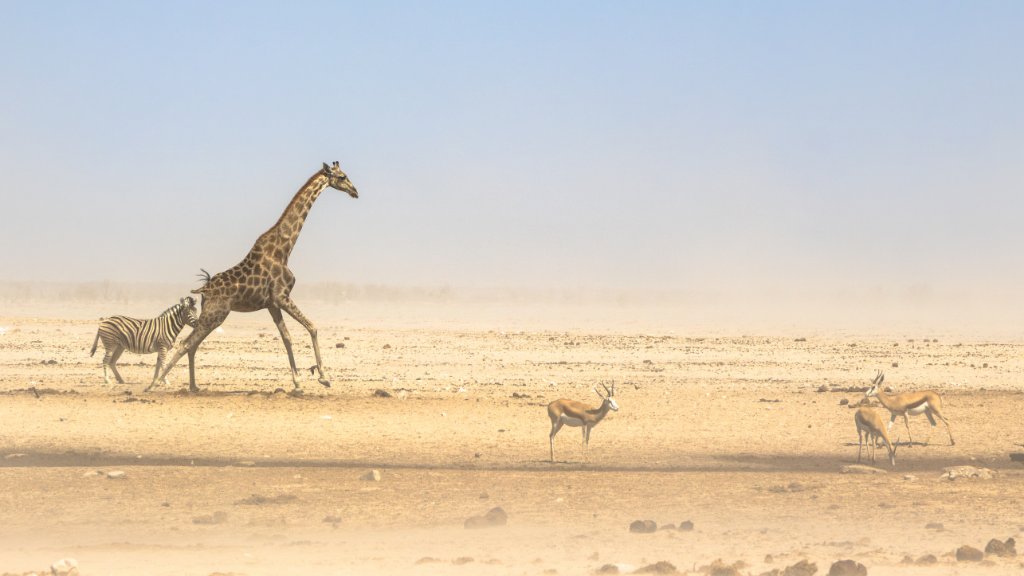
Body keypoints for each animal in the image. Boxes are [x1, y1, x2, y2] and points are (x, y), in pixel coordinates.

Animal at [147, 162, 358, 393]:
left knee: (192, 345)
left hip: (212, 315)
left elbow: (287, 338)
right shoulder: (282, 296)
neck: (284, 249)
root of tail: (204, 290)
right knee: (186, 344)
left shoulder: (272, 304)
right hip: (215, 314)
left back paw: (194, 386)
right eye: (342, 176)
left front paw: (298, 383)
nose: (355, 191)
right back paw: (155, 384)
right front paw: (324, 377)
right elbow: (312, 327)